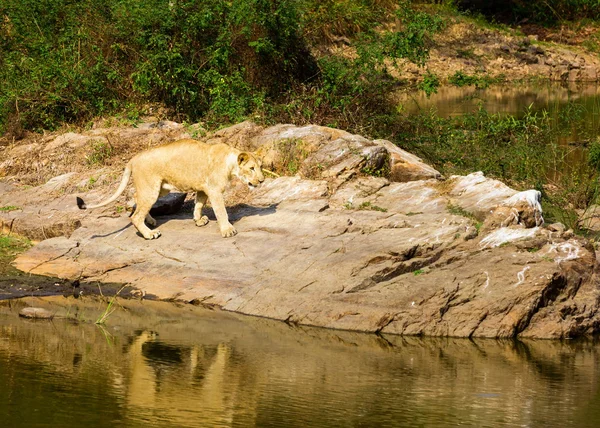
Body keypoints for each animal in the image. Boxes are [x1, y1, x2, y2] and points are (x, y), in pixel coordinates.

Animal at [76, 139, 264, 239]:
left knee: (137, 199)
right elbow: (221, 211)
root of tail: (133, 158)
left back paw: (151, 221)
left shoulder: (203, 188)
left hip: (159, 188)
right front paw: (227, 230)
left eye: (261, 167)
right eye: (251, 168)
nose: (262, 180)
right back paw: (150, 233)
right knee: (135, 216)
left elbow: (198, 204)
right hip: (151, 188)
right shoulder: (214, 190)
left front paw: (198, 220)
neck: (230, 163)